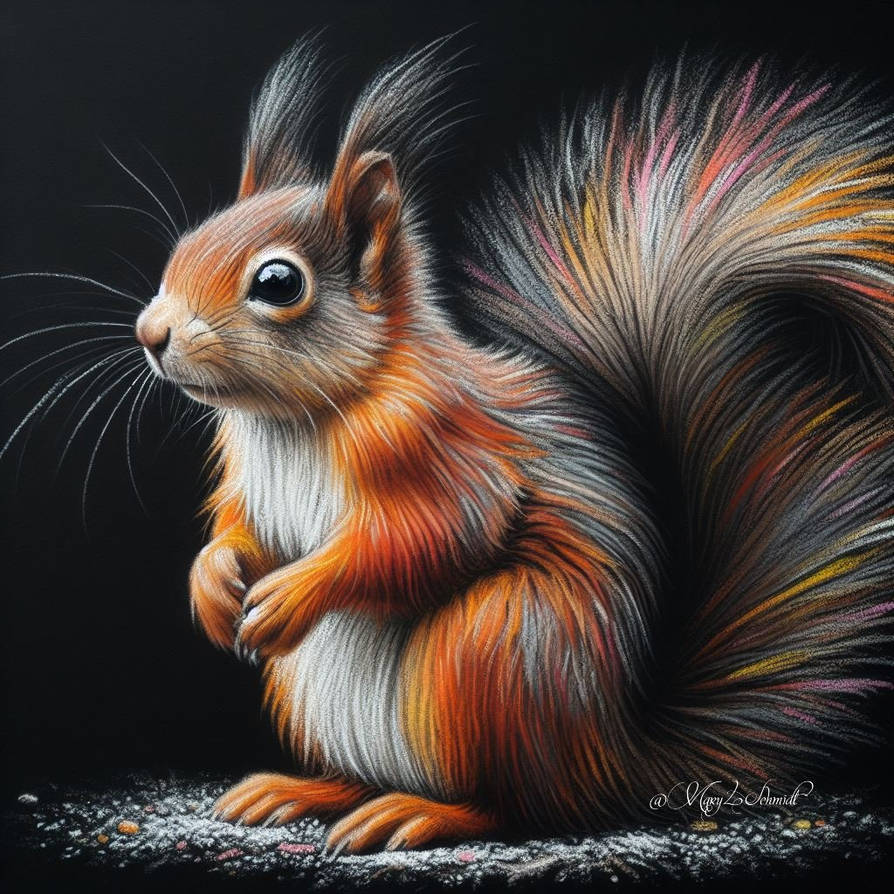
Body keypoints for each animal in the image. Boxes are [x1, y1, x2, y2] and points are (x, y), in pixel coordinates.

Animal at [133, 36, 894, 851]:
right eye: (187, 244)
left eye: (278, 282)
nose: (151, 333)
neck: (299, 415)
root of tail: (606, 762)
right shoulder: (247, 477)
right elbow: (240, 528)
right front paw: (213, 584)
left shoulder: (444, 447)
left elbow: (428, 535)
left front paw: (292, 593)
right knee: (377, 778)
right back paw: (301, 790)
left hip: (493, 649)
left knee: (512, 806)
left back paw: (420, 813)